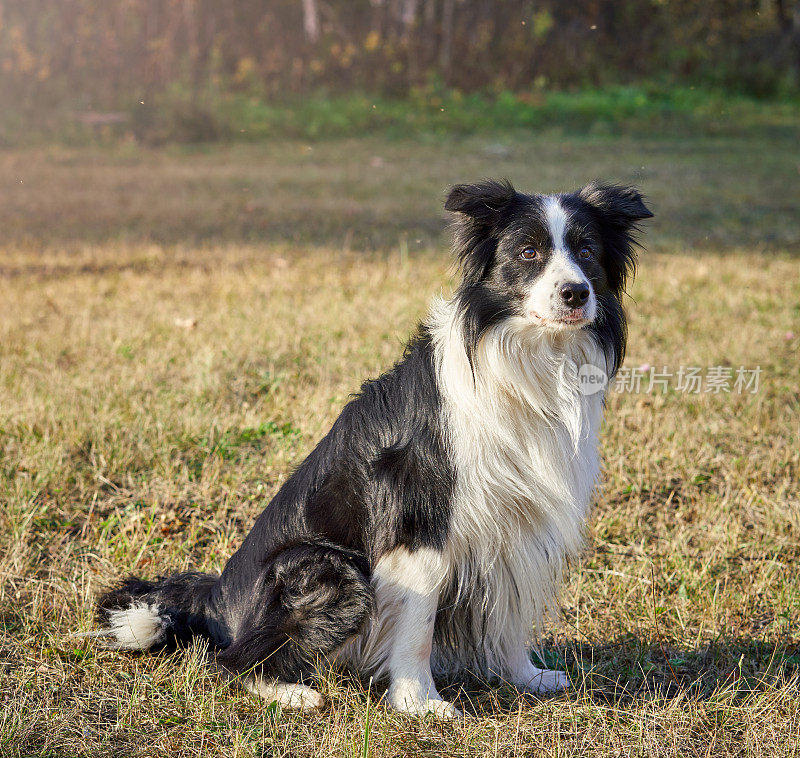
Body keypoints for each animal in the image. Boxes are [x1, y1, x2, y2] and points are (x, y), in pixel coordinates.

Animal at [89, 180, 648, 720]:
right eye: (529, 251)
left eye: (587, 250)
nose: (575, 293)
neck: (532, 358)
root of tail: (216, 599)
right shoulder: (420, 523)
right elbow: (417, 626)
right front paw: (420, 703)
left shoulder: (519, 523)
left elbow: (510, 614)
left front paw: (526, 677)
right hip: (333, 571)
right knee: (229, 661)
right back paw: (293, 694)